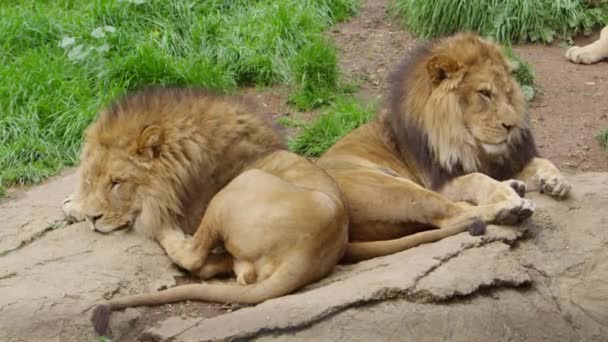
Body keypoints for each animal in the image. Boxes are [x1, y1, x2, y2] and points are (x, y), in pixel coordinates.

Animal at [62, 87, 350, 336]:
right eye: (91, 180)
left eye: (117, 182)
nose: (94, 219)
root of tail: (305, 256)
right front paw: (75, 204)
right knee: (214, 269)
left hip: (238, 187)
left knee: (191, 257)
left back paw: (166, 231)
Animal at [316, 32, 572, 262]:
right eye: (484, 93)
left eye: (508, 94)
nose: (512, 125)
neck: (468, 144)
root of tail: (346, 237)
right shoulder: (438, 181)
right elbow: (476, 178)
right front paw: (503, 194)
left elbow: (540, 162)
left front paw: (555, 180)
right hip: (396, 189)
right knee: (454, 216)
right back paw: (510, 208)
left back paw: (515, 188)